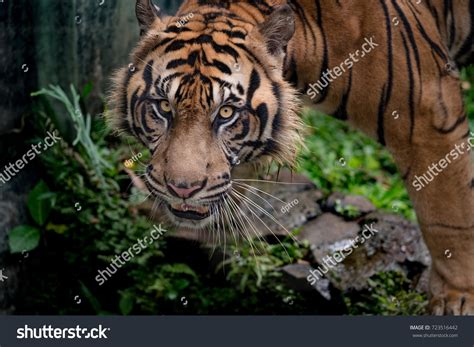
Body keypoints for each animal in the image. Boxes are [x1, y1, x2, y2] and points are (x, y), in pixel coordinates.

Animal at [107, 0, 474, 316]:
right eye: (163, 107)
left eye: (225, 112)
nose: (182, 188)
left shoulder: (428, 114)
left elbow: (448, 217)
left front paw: (456, 300)